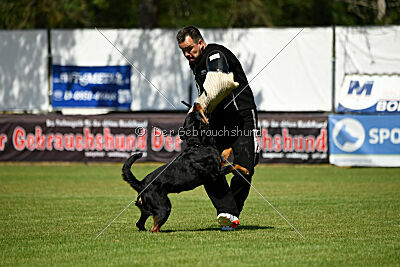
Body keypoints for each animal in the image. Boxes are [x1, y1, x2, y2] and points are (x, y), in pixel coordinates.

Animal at [122, 103, 247, 233]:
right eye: (196, 114)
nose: (195, 104)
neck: (199, 145)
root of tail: (141, 183)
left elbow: (224, 154)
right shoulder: (216, 173)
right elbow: (233, 165)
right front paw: (245, 170)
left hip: (146, 209)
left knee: (140, 224)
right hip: (164, 207)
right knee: (154, 227)